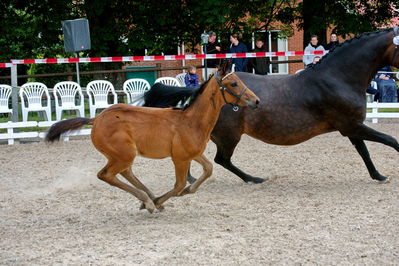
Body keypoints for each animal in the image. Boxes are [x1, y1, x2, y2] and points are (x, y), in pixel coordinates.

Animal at [45, 65, 260, 214]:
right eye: (234, 83)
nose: (256, 101)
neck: (191, 120)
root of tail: (96, 119)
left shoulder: (193, 154)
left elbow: (208, 169)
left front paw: (185, 191)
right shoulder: (180, 159)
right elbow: (179, 185)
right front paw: (161, 200)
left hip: (122, 155)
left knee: (125, 173)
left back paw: (147, 198)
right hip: (124, 154)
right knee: (106, 175)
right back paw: (149, 201)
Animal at [145, 28, 399, 184]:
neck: (338, 77)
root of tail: (207, 87)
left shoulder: (352, 127)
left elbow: (364, 151)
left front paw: (378, 176)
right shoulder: (351, 126)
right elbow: (391, 141)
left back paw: (190, 179)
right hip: (229, 135)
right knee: (222, 160)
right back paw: (253, 179)